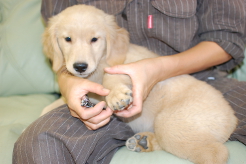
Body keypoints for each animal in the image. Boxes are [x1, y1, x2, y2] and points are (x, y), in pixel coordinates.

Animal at [42, 4, 238, 164]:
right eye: (68, 39)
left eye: (94, 40)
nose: (80, 67)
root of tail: (233, 119)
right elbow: (53, 105)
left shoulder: (130, 64)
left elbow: (111, 76)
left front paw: (116, 96)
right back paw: (143, 142)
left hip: (171, 122)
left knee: (215, 152)